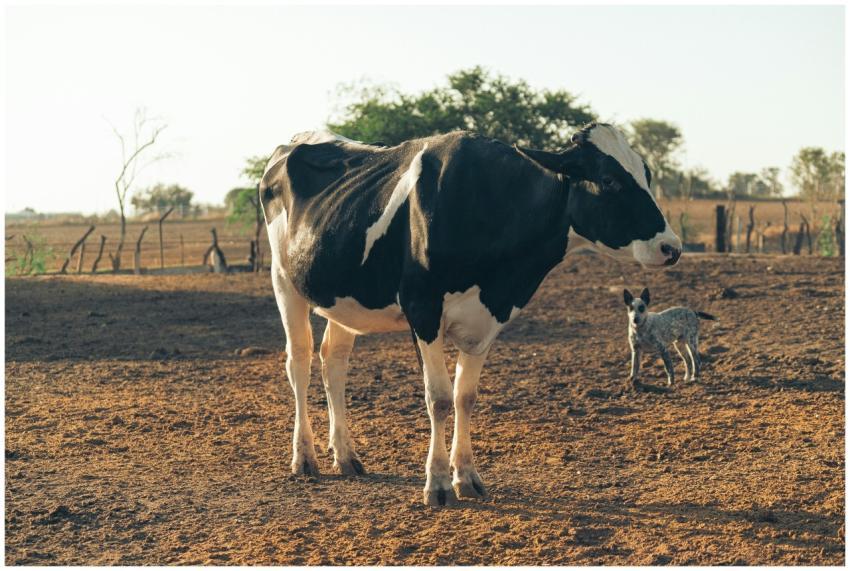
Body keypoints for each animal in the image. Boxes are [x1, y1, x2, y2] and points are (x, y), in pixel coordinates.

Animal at [259, 123, 681, 506]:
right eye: (609, 180)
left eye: (646, 174)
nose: (672, 247)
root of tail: (297, 140)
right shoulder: (422, 308)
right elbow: (439, 398)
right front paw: (438, 485)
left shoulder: (487, 320)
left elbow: (465, 397)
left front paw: (466, 477)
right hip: (284, 280)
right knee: (299, 363)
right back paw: (305, 458)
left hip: (344, 298)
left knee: (333, 362)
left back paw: (346, 456)